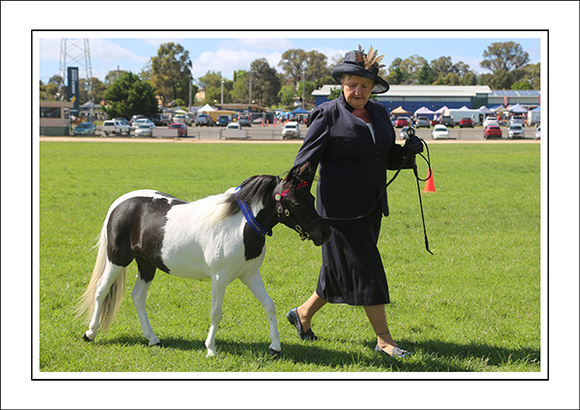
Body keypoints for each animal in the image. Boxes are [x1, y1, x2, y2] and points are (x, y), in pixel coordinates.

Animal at [78, 162, 330, 358]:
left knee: (138, 297)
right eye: (296, 203)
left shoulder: (249, 275)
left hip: (147, 265)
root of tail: (120, 203)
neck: (240, 226)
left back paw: (153, 339)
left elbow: (269, 304)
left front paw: (275, 347)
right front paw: (210, 349)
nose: (324, 233)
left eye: (312, 197)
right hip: (118, 259)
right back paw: (90, 333)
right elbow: (216, 312)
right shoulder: (219, 278)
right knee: (101, 290)